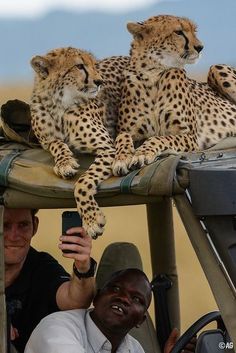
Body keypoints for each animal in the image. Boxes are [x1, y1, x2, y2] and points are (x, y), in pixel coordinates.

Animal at [30, 46, 115, 238]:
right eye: (79, 66)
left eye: (94, 65)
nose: (100, 81)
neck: (58, 104)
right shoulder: (46, 141)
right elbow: (57, 143)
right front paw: (65, 163)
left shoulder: (108, 148)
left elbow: (83, 182)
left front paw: (92, 220)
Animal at [97, 15, 236, 175]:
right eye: (179, 32)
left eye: (194, 31)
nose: (200, 47)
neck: (153, 75)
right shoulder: (128, 131)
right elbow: (122, 137)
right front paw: (122, 158)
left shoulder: (189, 137)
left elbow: (159, 138)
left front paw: (141, 153)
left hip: (217, 67)